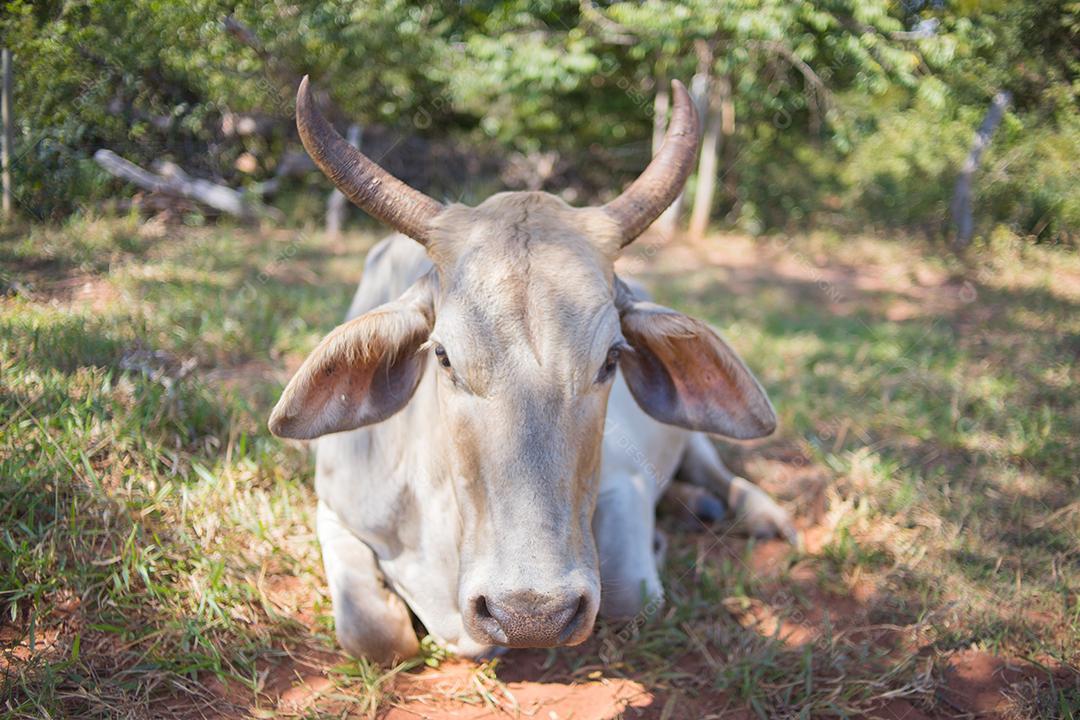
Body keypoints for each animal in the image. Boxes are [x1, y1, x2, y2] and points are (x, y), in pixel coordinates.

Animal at [270, 76, 794, 660]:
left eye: (612, 358)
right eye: (443, 355)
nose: (530, 615)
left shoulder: (626, 482)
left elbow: (631, 595)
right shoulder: (332, 507)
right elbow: (374, 634)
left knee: (717, 472)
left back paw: (755, 512)